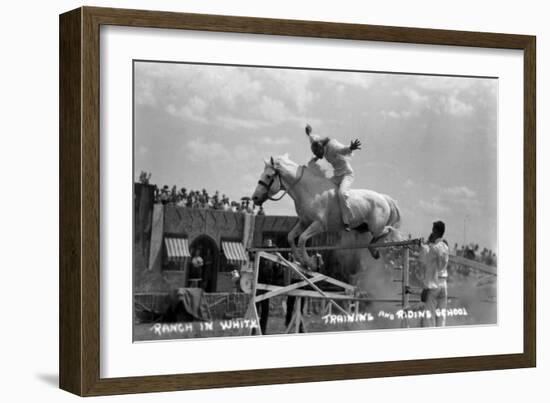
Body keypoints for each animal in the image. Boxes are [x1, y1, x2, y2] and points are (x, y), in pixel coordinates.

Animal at [252, 156, 404, 270]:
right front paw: (301, 261)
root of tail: (384, 198)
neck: (309, 191)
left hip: (375, 227)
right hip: (364, 228)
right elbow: (291, 237)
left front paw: (311, 263)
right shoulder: (304, 222)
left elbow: (302, 239)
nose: (255, 198)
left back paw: (378, 251)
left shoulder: (318, 225)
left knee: (388, 231)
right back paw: (375, 252)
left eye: (268, 176)